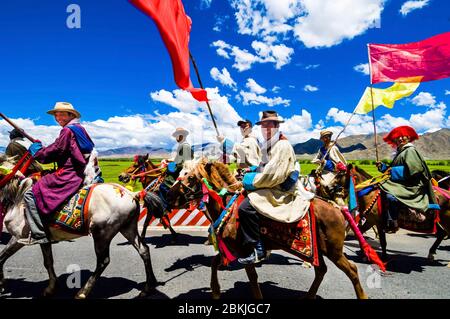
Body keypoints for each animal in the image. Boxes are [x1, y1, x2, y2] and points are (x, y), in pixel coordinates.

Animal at [0, 156, 158, 298]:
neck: (17, 197)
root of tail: (131, 193)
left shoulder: (19, 236)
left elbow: (3, 257)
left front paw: (2, 285)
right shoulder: (40, 239)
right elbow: (47, 261)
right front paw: (51, 288)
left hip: (102, 233)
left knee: (103, 261)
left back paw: (82, 292)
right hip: (127, 228)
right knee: (143, 250)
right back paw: (148, 288)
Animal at [165, 159, 380, 302]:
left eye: (191, 177)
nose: (168, 196)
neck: (228, 205)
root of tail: (338, 209)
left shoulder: (245, 250)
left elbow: (251, 277)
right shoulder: (233, 248)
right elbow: (214, 262)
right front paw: (216, 291)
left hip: (334, 250)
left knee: (351, 270)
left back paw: (362, 296)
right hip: (319, 250)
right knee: (321, 270)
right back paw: (308, 296)